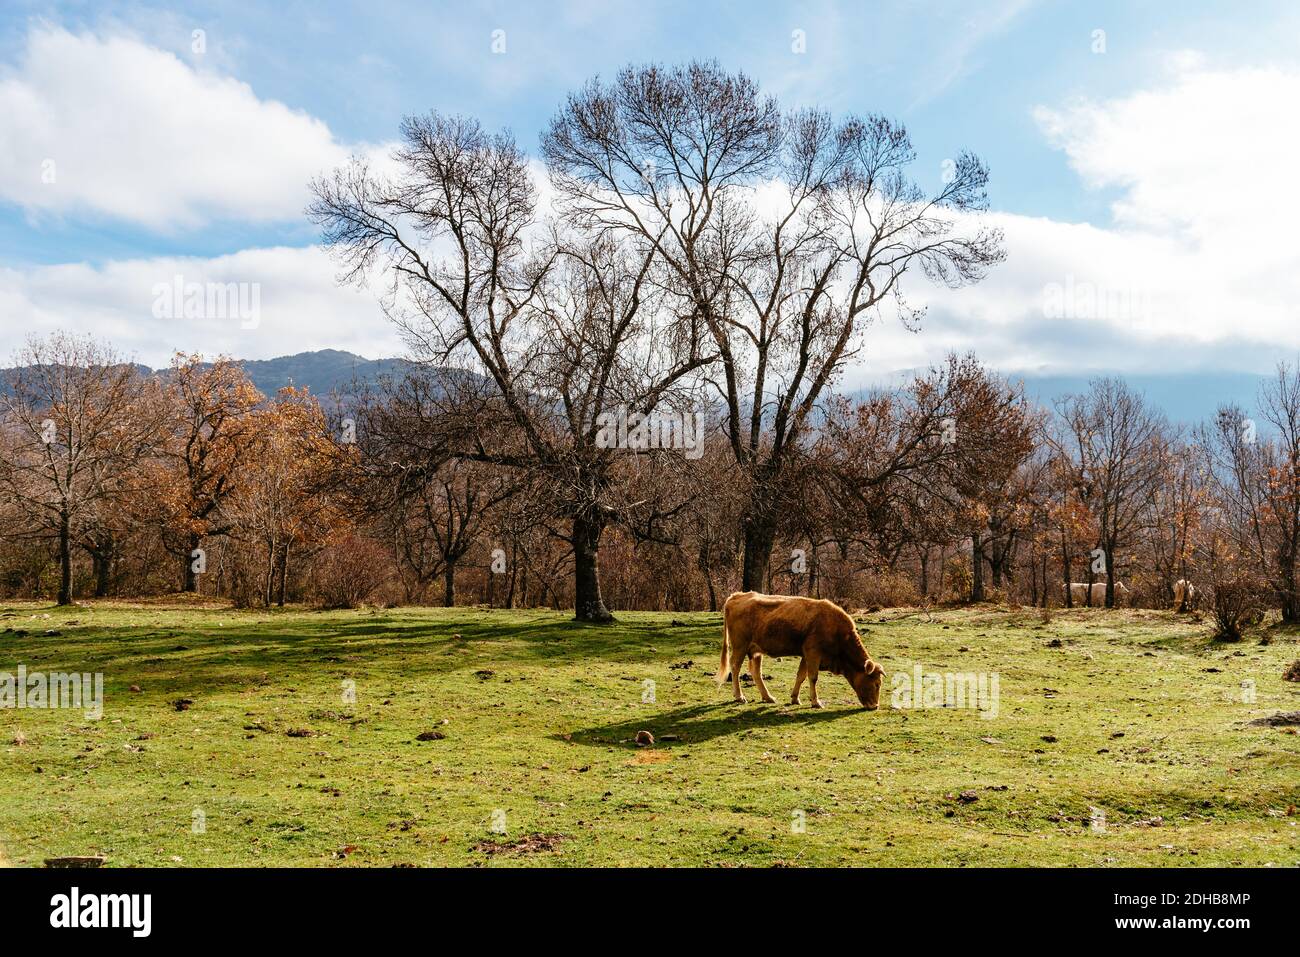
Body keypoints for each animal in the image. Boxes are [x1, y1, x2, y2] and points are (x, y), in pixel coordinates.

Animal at [716, 591, 884, 710]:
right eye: (876, 683)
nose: (875, 706)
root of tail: (737, 596)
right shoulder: (813, 653)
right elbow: (813, 677)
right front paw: (816, 702)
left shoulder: (806, 655)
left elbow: (801, 676)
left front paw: (795, 698)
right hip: (740, 646)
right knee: (735, 667)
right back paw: (739, 696)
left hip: (756, 651)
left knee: (756, 672)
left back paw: (768, 697)